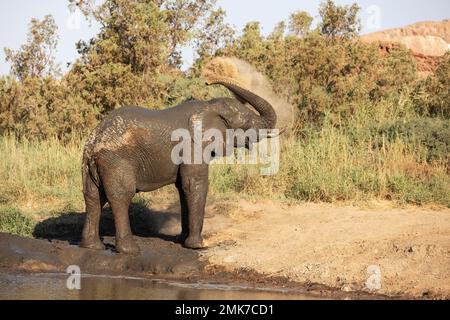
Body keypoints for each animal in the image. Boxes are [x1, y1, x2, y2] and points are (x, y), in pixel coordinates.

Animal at [81, 79, 278, 254]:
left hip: (90, 164)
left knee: (93, 197)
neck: (208, 107)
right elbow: (195, 184)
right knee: (121, 196)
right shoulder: (193, 147)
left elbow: (183, 188)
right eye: (247, 122)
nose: (208, 81)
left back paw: (93, 247)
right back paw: (130, 251)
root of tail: (95, 141)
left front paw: (181, 240)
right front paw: (197, 246)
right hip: (117, 161)